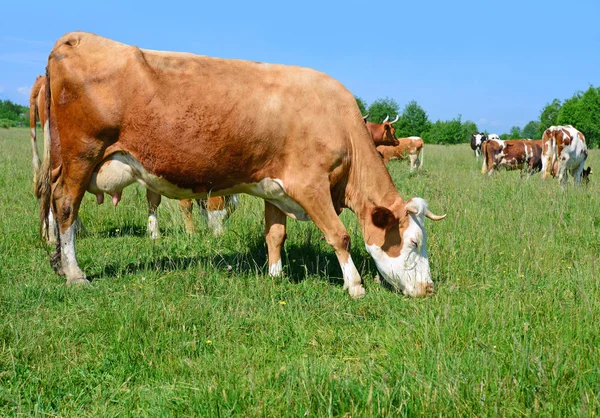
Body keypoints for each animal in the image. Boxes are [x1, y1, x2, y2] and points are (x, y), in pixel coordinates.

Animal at [28, 74, 236, 242]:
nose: (222, 234)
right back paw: (54, 237)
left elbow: (153, 199)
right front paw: (191, 233)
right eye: (223, 203)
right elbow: (185, 203)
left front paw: (154, 233)